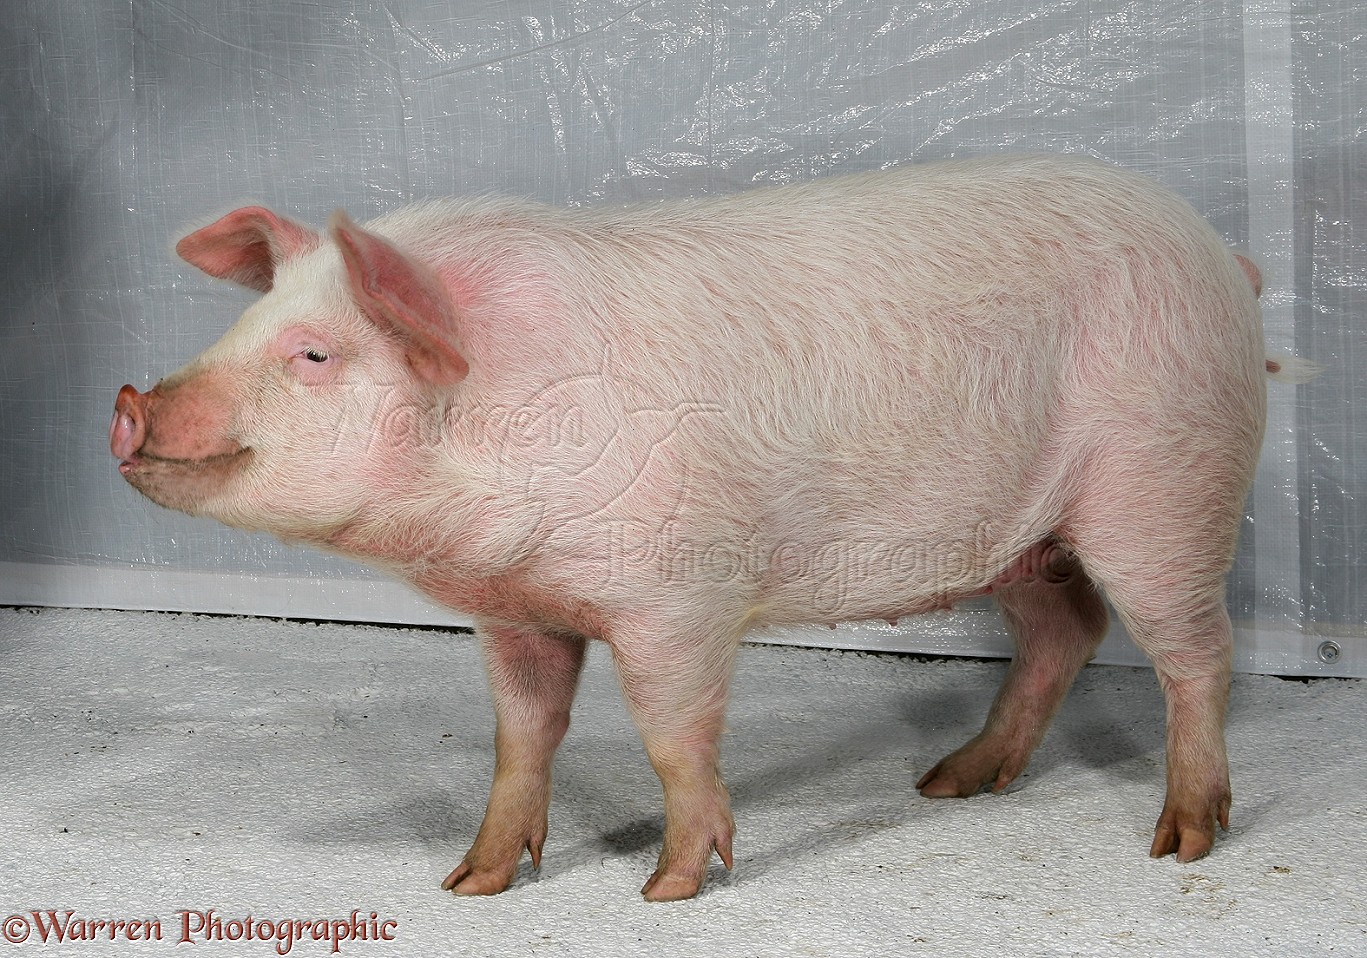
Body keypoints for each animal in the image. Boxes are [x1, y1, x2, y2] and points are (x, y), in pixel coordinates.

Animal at [111, 154, 1272, 902]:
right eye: (244, 321)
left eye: (313, 353)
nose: (128, 400)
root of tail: (1224, 258)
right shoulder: (516, 608)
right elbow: (520, 734)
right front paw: (469, 883)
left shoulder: (680, 592)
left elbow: (672, 735)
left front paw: (666, 890)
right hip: (1027, 537)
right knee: (1064, 631)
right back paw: (947, 782)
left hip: (1166, 485)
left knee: (1194, 653)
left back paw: (1180, 843)